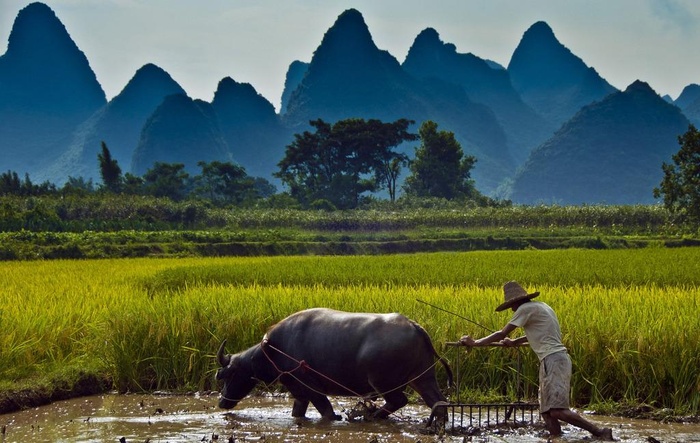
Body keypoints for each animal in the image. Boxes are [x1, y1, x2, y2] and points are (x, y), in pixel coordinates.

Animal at [216, 308, 452, 424]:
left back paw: (372, 416)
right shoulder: (298, 391)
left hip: (383, 382)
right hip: (423, 377)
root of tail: (414, 326)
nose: (221, 402)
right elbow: (298, 412)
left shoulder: (311, 386)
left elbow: (327, 411)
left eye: (228, 375)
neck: (273, 350)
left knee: (399, 400)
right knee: (438, 402)